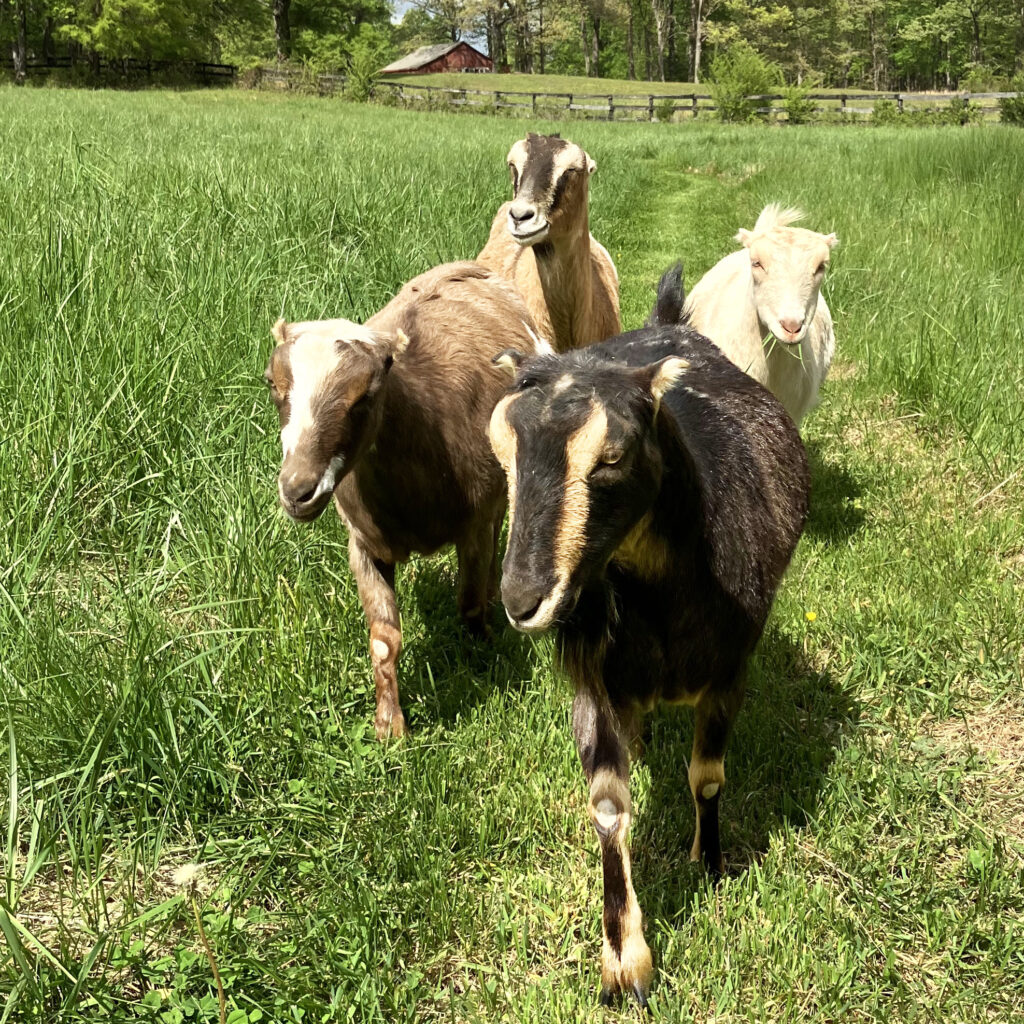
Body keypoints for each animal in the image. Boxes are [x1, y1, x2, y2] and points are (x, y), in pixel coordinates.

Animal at [487, 266, 806, 1007]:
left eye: (612, 457)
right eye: (500, 454)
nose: (521, 599)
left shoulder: (730, 671)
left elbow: (708, 778)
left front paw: (709, 863)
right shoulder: (594, 680)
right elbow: (608, 805)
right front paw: (625, 962)